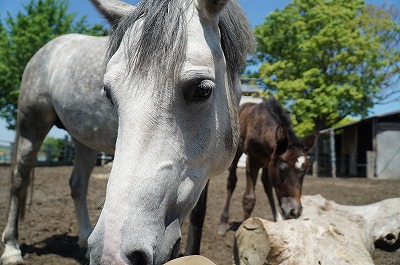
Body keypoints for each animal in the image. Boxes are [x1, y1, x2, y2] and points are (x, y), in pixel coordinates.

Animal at [1, 0, 253, 262]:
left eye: (202, 90)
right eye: (109, 93)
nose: (111, 255)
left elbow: (198, 217)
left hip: (84, 141)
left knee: (77, 184)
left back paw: (84, 239)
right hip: (31, 127)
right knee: (18, 180)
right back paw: (12, 249)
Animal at [217, 98, 318, 234]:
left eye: (306, 169)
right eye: (282, 168)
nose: (294, 211)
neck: (262, 129)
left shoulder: (269, 161)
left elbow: (268, 187)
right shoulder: (252, 160)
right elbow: (249, 199)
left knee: (267, 185)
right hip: (237, 151)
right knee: (231, 181)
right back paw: (223, 224)